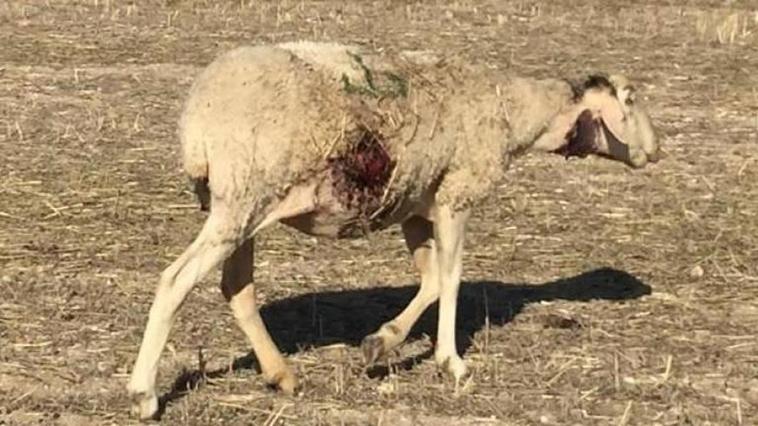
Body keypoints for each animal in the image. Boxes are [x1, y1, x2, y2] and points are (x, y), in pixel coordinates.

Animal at [127, 40, 664, 420]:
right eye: (632, 99)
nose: (657, 151)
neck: (513, 110)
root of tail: (196, 123)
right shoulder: (456, 194)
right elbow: (451, 279)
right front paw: (451, 362)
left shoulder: (415, 208)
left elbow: (430, 280)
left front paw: (381, 343)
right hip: (241, 198)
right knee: (175, 280)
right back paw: (144, 393)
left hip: (246, 207)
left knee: (237, 288)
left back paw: (282, 376)